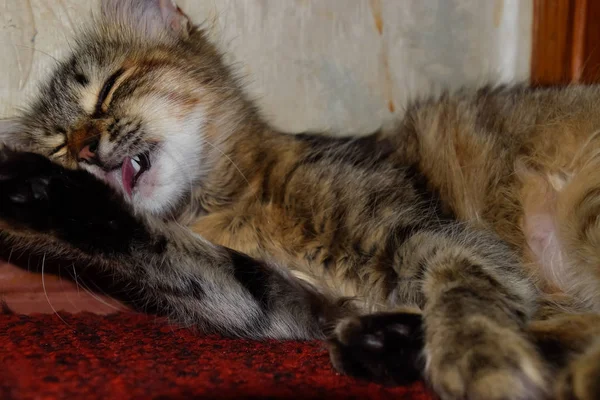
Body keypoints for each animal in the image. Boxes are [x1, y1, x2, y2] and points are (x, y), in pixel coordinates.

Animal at [1, 0, 600, 400]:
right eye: (58, 144)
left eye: (109, 89)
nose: (84, 148)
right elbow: (157, 247)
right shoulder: (274, 298)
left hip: (582, 212)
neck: (236, 203)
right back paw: (389, 342)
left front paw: (481, 362)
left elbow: (463, 295)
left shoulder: (438, 236)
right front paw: (36, 190)